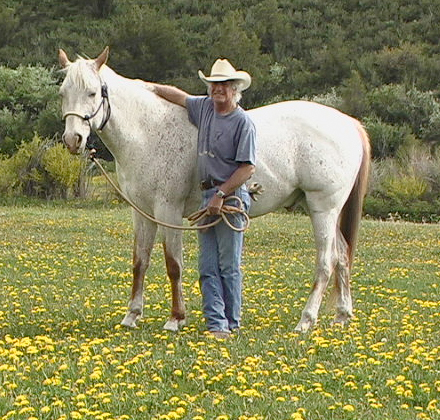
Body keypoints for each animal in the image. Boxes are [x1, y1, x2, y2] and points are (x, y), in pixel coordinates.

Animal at [57, 47, 368, 334]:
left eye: (92, 93)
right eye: (63, 92)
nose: (74, 139)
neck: (148, 132)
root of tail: (349, 123)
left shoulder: (167, 210)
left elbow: (173, 264)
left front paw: (176, 318)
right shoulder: (143, 213)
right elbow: (140, 261)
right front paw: (132, 315)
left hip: (323, 208)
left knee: (326, 262)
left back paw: (306, 320)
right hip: (327, 211)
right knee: (342, 256)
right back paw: (342, 315)